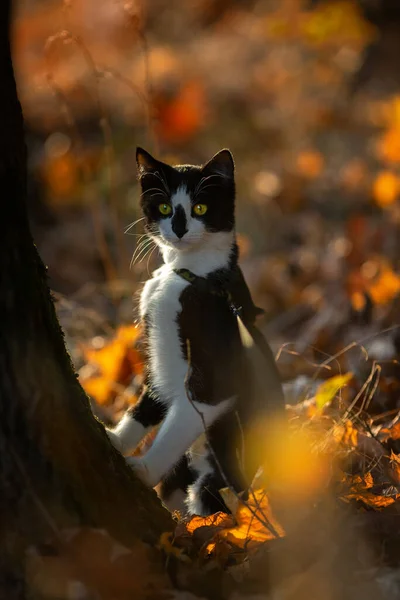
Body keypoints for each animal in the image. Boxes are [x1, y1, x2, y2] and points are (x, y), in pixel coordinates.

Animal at [104, 146, 282, 516]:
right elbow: (148, 399)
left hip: (221, 474)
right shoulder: (161, 358)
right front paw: (115, 439)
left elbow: (177, 427)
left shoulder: (215, 381)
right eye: (164, 207)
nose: (179, 227)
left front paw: (143, 469)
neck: (187, 275)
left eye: (199, 207)